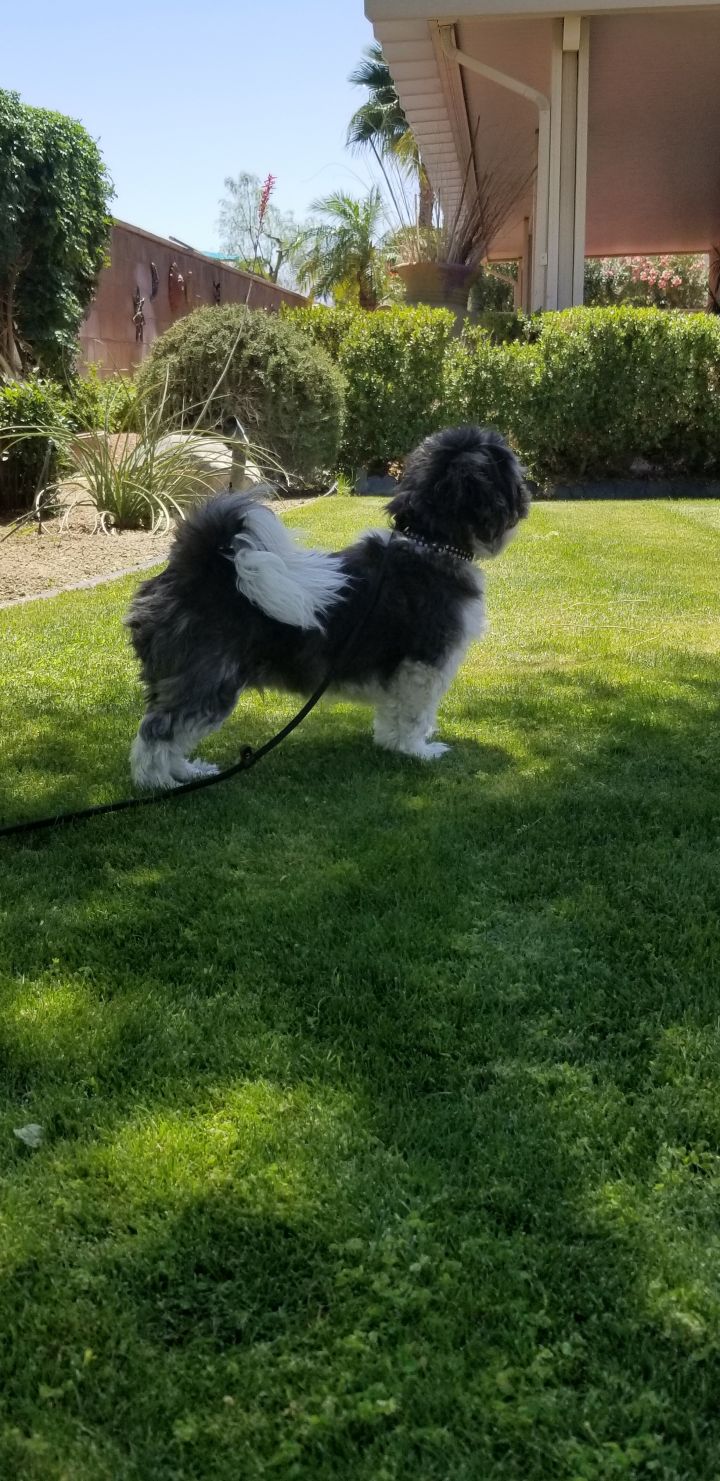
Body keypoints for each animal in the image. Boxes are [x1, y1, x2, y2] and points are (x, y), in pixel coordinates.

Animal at [125, 423, 527, 793]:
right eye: (507, 468)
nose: (526, 492)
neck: (430, 543)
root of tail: (195, 567)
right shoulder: (423, 665)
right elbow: (415, 714)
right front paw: (418, 751)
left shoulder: (403, 672)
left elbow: (393, 714)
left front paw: (392, 745)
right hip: (206, 679)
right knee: (159, 732)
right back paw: (159, 783)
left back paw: (187, 772)